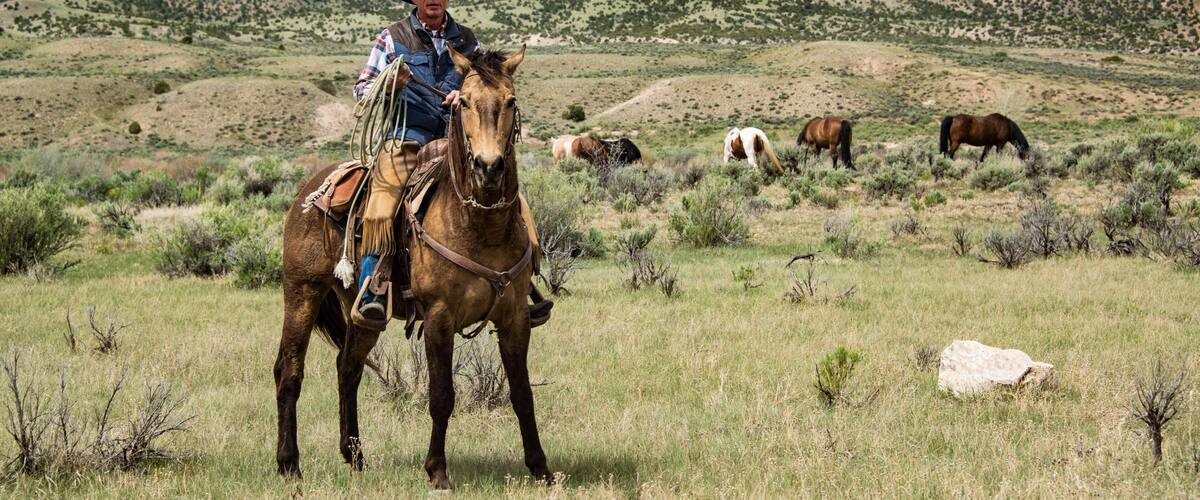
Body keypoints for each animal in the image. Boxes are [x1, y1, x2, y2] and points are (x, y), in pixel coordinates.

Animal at [274, 47, 552, 490]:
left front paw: (541, 469)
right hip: (301, 292)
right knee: (289, 370)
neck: (479, 224)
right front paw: (437, 471)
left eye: (510, 101)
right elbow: (441, 396)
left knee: (348, 368)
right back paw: (289, 463)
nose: (488, 167)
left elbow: (523, 395)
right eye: (465, 102)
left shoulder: (514, 318)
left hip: (361, 310)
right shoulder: (439, 316)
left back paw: (355, 457)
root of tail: (310, 188)